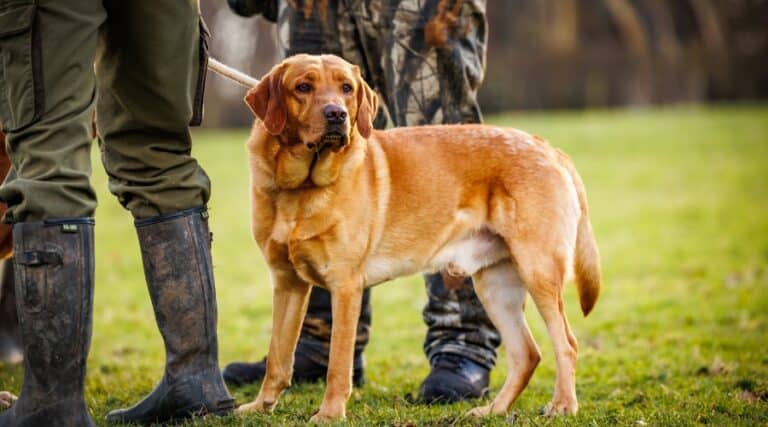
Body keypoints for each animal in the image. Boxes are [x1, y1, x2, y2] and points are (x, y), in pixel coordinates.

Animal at [236, 53, 600, 422]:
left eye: (346, 88)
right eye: (303, 87)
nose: (337, 114)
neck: (300, 188)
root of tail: (547, 147)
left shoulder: (345, 286)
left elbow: (338, 364)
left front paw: (330, 414)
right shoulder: (287, 283)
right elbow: (278, 357)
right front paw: (260, 406)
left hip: (538, 271)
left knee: (566, 344)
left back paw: (563, 405)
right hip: (495, 286)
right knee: (527, 353)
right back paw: (491, 411)